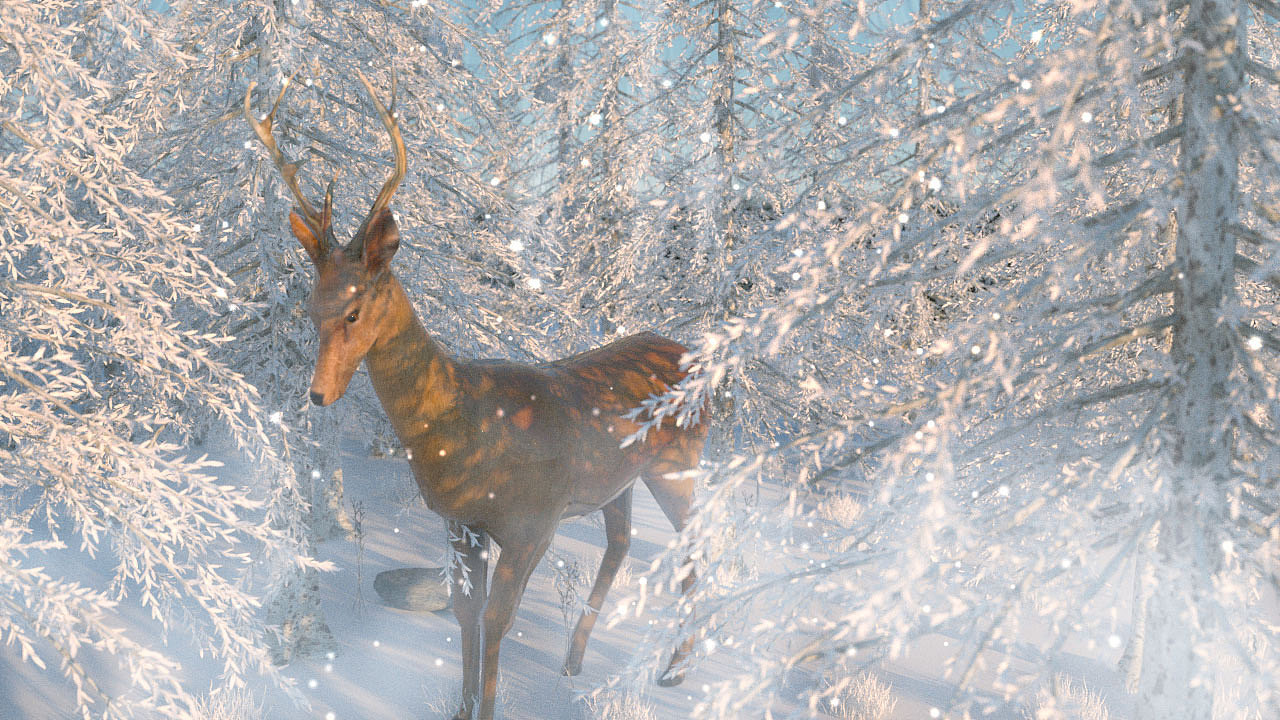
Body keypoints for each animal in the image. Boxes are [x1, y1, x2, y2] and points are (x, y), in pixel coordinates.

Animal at [245, 73, 708, 720]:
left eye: (355, 309)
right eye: (312, 309)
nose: (318, 395)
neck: (464, 428)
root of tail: (700, 356)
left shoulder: (533, 522)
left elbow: (497, 620)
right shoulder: (462, 523)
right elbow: (465, 616)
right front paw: (462, 707)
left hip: (677, 463)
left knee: (695, 546)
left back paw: (675, 671)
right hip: (619, 479)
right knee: (621, 543)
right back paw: (574, 662)